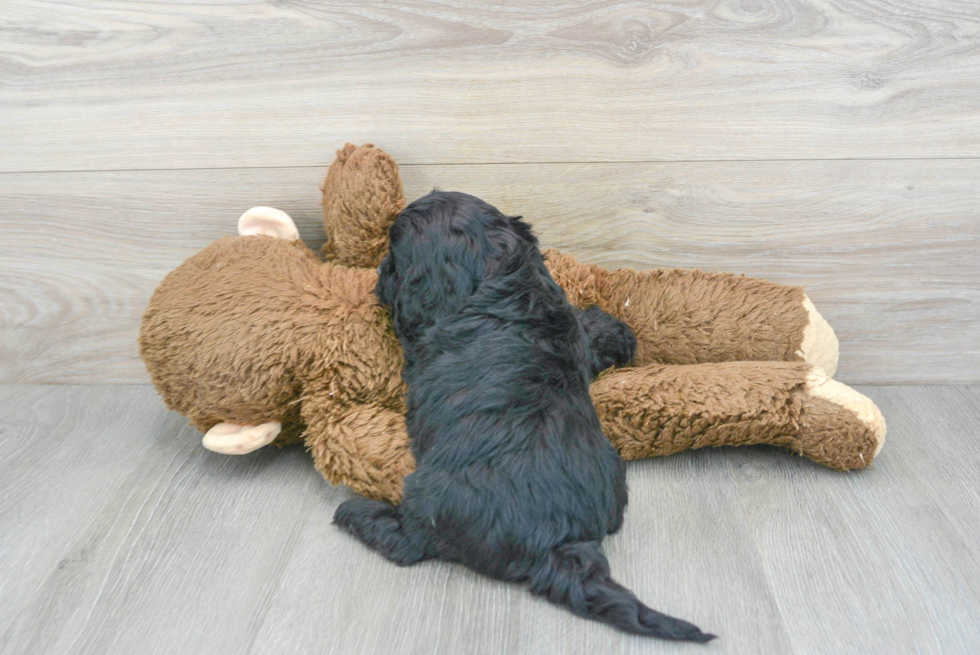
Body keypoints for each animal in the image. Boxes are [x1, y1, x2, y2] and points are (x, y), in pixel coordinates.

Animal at [334, 192, 712, 644]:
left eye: (394, 252)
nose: (378, 271)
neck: (500, 274)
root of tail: (554, 543)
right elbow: (585, 330)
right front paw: (609, 327)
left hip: (428, 500)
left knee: (408, 544)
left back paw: (358, 514)